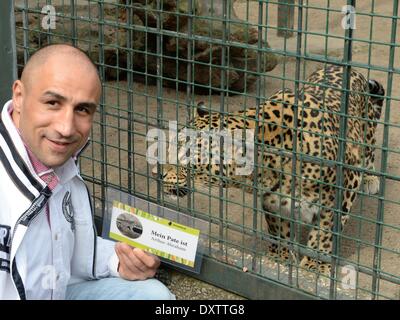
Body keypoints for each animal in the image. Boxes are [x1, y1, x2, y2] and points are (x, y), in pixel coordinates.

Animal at [152, 65, 384, 276]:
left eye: (186, 157)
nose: (158, 174)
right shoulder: (273, 201)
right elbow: (279, 230)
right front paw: (279, 258)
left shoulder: (343, 188)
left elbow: (325, 231)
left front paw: (315, 265)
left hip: (366, 132)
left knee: (370, 150)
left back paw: (371, 179)